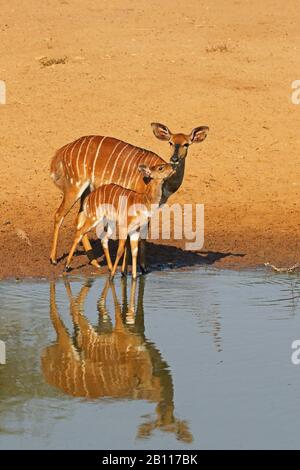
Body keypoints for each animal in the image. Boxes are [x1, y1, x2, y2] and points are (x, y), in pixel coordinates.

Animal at [49, 123, 209, 272]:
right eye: (170, 142)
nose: (174, 159)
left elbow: (142, 236)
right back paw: (54, 259)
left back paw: (95, 263)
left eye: (186, 144)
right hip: (75, 187)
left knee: (79, 220)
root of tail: (62, 151)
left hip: (88, 193)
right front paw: (128, 270)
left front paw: (142, 268)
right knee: (59, 215)